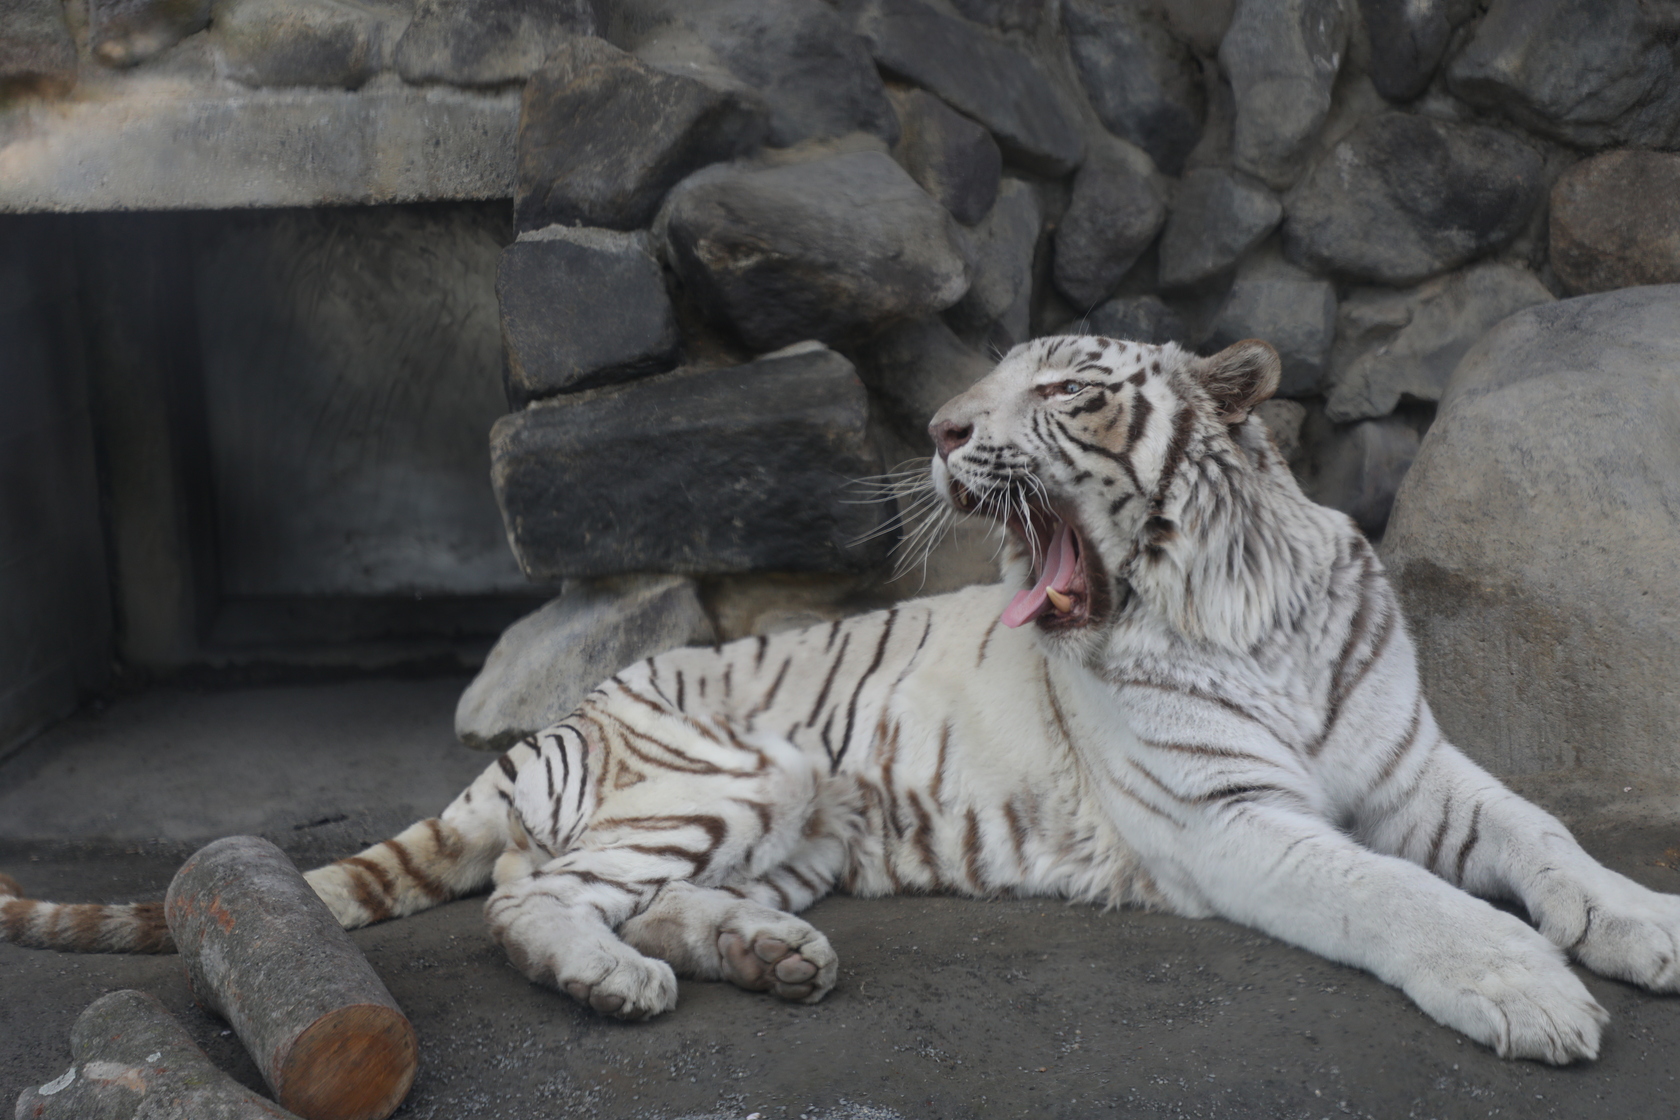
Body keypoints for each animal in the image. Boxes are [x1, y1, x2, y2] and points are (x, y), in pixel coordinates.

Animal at [5, 335, 1678, 1065]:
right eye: (982, 384)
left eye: (1060, 388)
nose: (935, 426)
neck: (1229, 593)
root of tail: (560, 723)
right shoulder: (1232, 818)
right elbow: (1403, 896)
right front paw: (1532, 990)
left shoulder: (1411, 764)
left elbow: (1542, 839)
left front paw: (1644, 925)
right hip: (728, 771)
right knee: (534, 899)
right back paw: (616, 983)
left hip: (795, 813)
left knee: (627, 891)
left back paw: (770, 954)